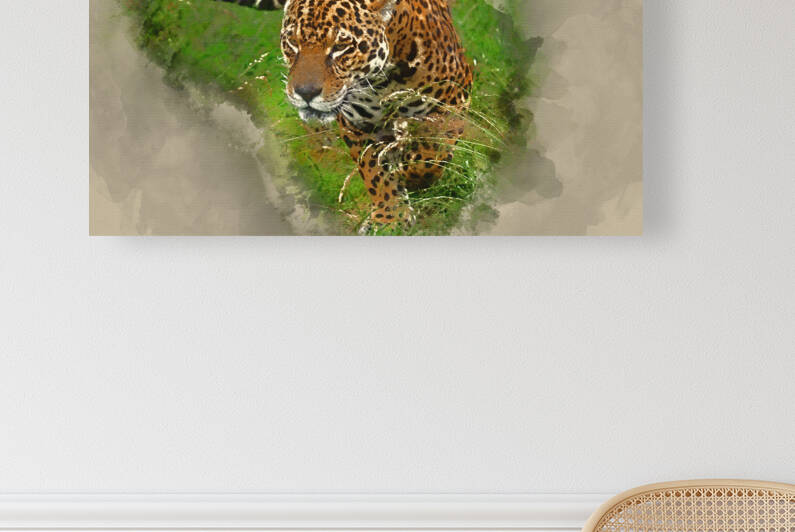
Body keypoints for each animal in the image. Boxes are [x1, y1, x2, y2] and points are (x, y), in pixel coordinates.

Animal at [218, 0, 473, 231]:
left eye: (342, 46)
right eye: (293, 43)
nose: (305, 92)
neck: (383, 82)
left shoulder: (454, 98)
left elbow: (431, 155)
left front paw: (412, 177)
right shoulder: (359, 124)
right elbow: (375, 173)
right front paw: (390, 219)